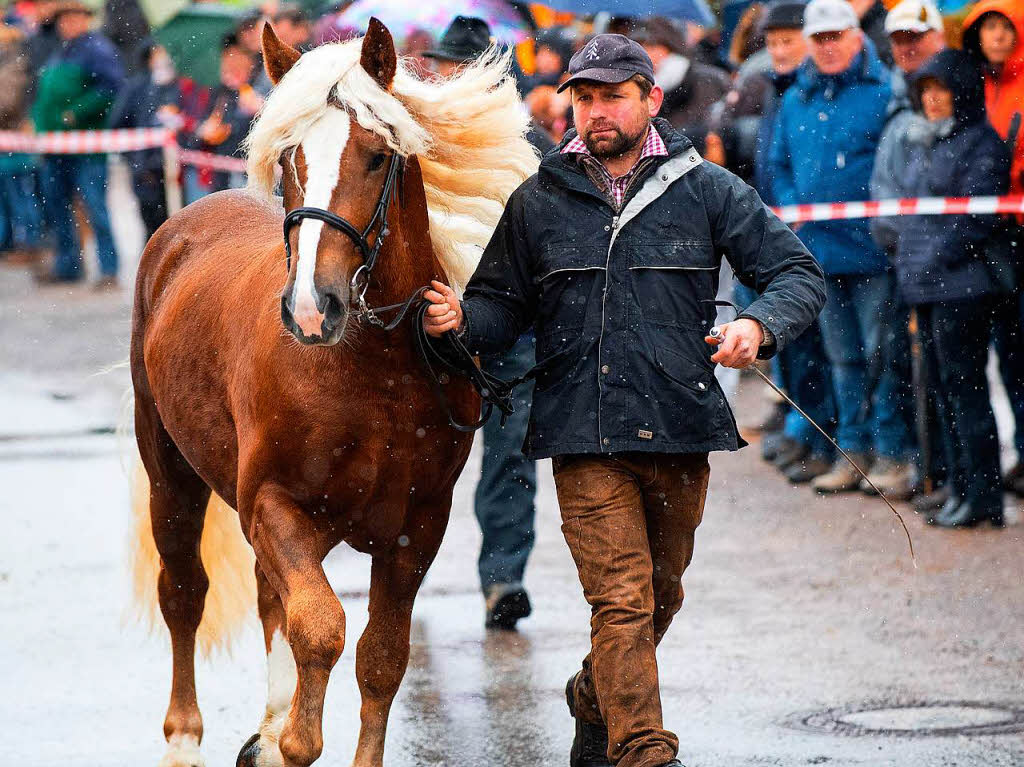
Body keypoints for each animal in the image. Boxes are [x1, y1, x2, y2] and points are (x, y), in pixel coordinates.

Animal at [128, 19, 536, 765]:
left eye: (375, 157)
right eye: (289, 156)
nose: (311, 307)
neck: (373, 372)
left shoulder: (416, 526)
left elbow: (381, 655)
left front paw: (283, 734)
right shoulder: (274, 503)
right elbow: (318, 625)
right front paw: (294, 738)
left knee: (268, 600)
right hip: (168, 465)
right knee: (184, 591)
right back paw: (185, 736)